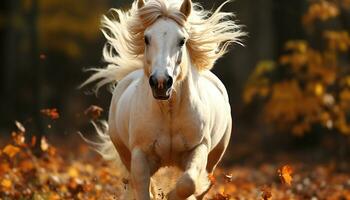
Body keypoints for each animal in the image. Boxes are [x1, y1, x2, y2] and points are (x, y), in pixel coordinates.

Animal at [81, 0, 245, 198]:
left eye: (182, 40)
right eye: (146, 38)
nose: (161, 82)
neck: (169, 111)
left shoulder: (199, 147)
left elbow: (188, 184)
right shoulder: (140, 154)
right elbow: (143, 187)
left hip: (213, 159)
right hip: (125, 154)